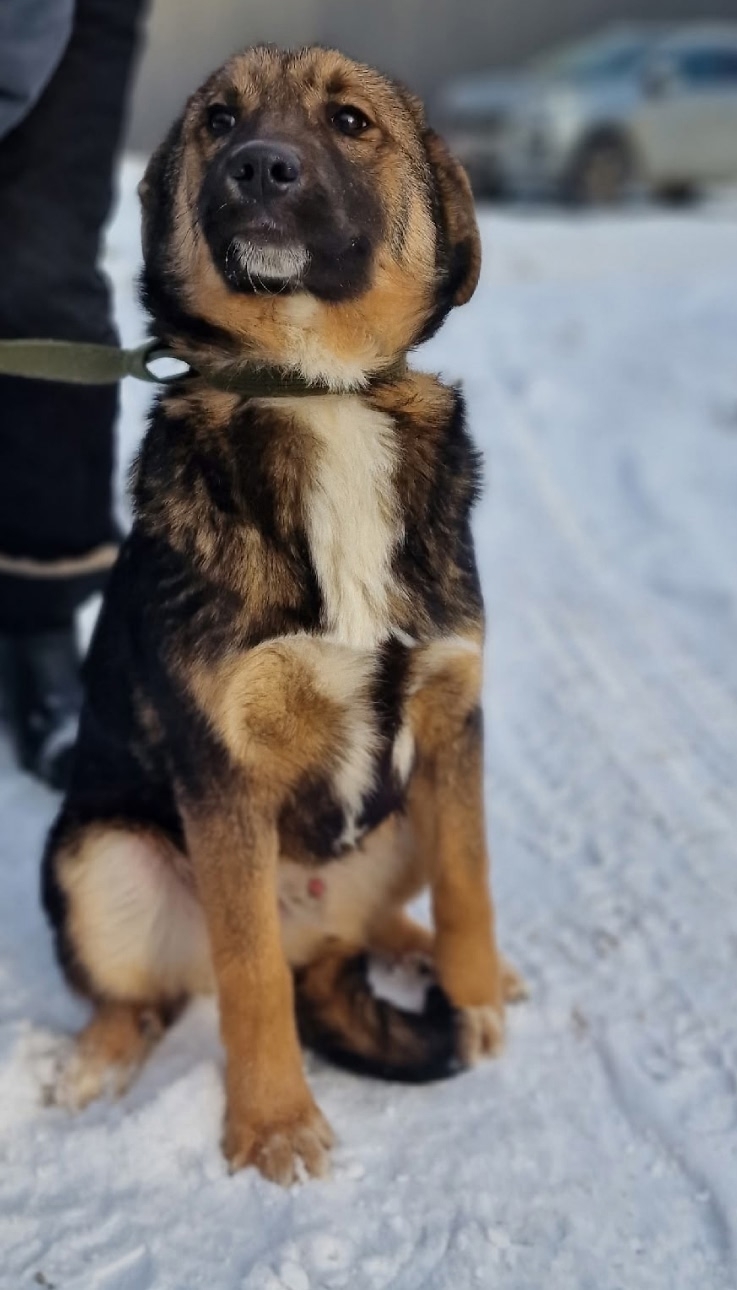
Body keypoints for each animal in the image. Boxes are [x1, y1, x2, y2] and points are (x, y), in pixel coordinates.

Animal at [41, 44, 524, 1186]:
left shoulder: (451, 716)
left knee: (391, 911)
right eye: (219, 120)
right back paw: (93, 1063)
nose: (258, 166)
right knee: (149, 991)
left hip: (399, 814)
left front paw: (476, 993)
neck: (317, 390)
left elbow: (469, 878)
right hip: (97, 858)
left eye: (350, 121)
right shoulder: (224, 767)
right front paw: (269, 1126)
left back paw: (428, 958)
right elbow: (249, 971)